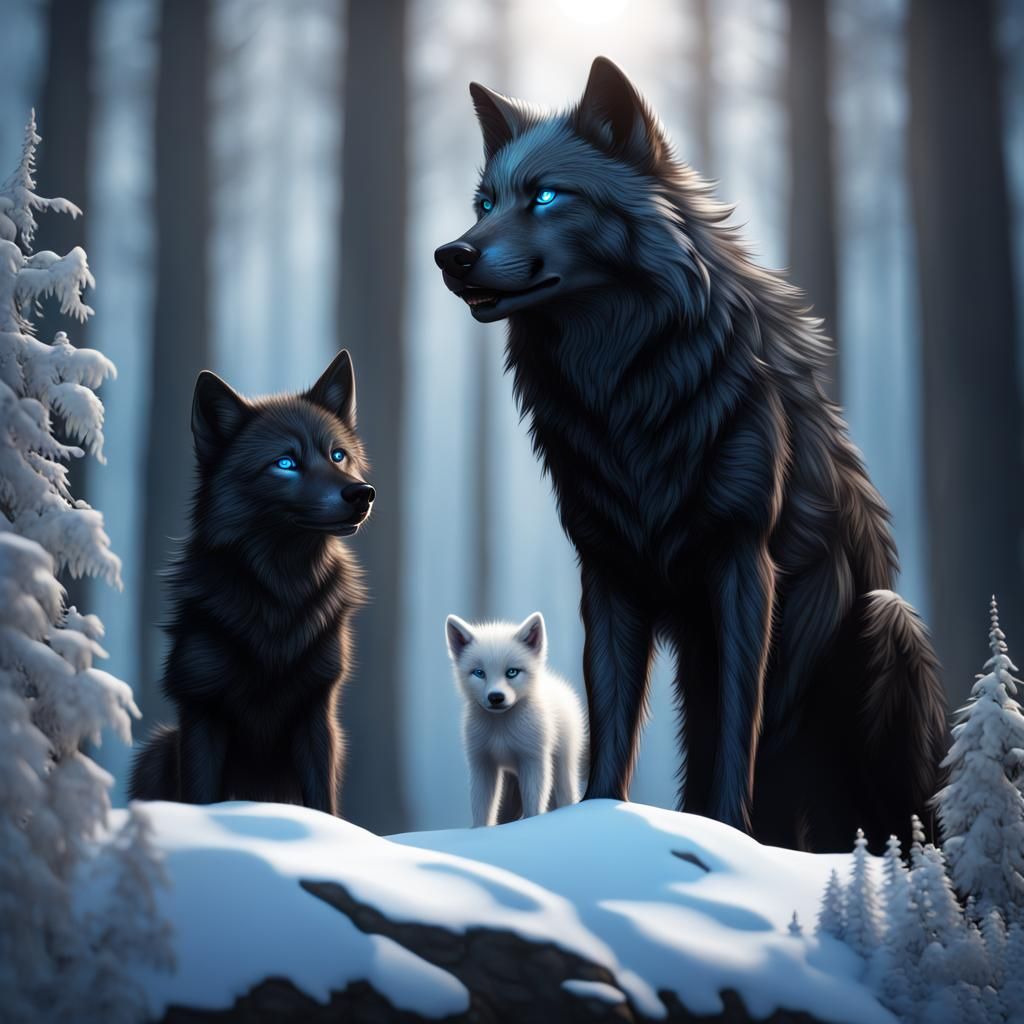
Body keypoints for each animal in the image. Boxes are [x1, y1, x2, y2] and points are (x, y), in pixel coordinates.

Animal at [128, 351, 374, 815]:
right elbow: (200, 796)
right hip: (156, 748)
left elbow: (322, 802)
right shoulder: (201, 710)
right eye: (285, 463)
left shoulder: (316, 715)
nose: (362, 493)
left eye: (337, 455)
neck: (280, 595)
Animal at [446, 612, 587, 826]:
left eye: (512, 672)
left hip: (563, 765)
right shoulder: (481, 763)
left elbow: (534, 807)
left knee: (566, 795)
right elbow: (481, 810)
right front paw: (478, 832)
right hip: (510, 786)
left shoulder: (534, 760)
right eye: (479, 673)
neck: (501, 730)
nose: (496, 697)